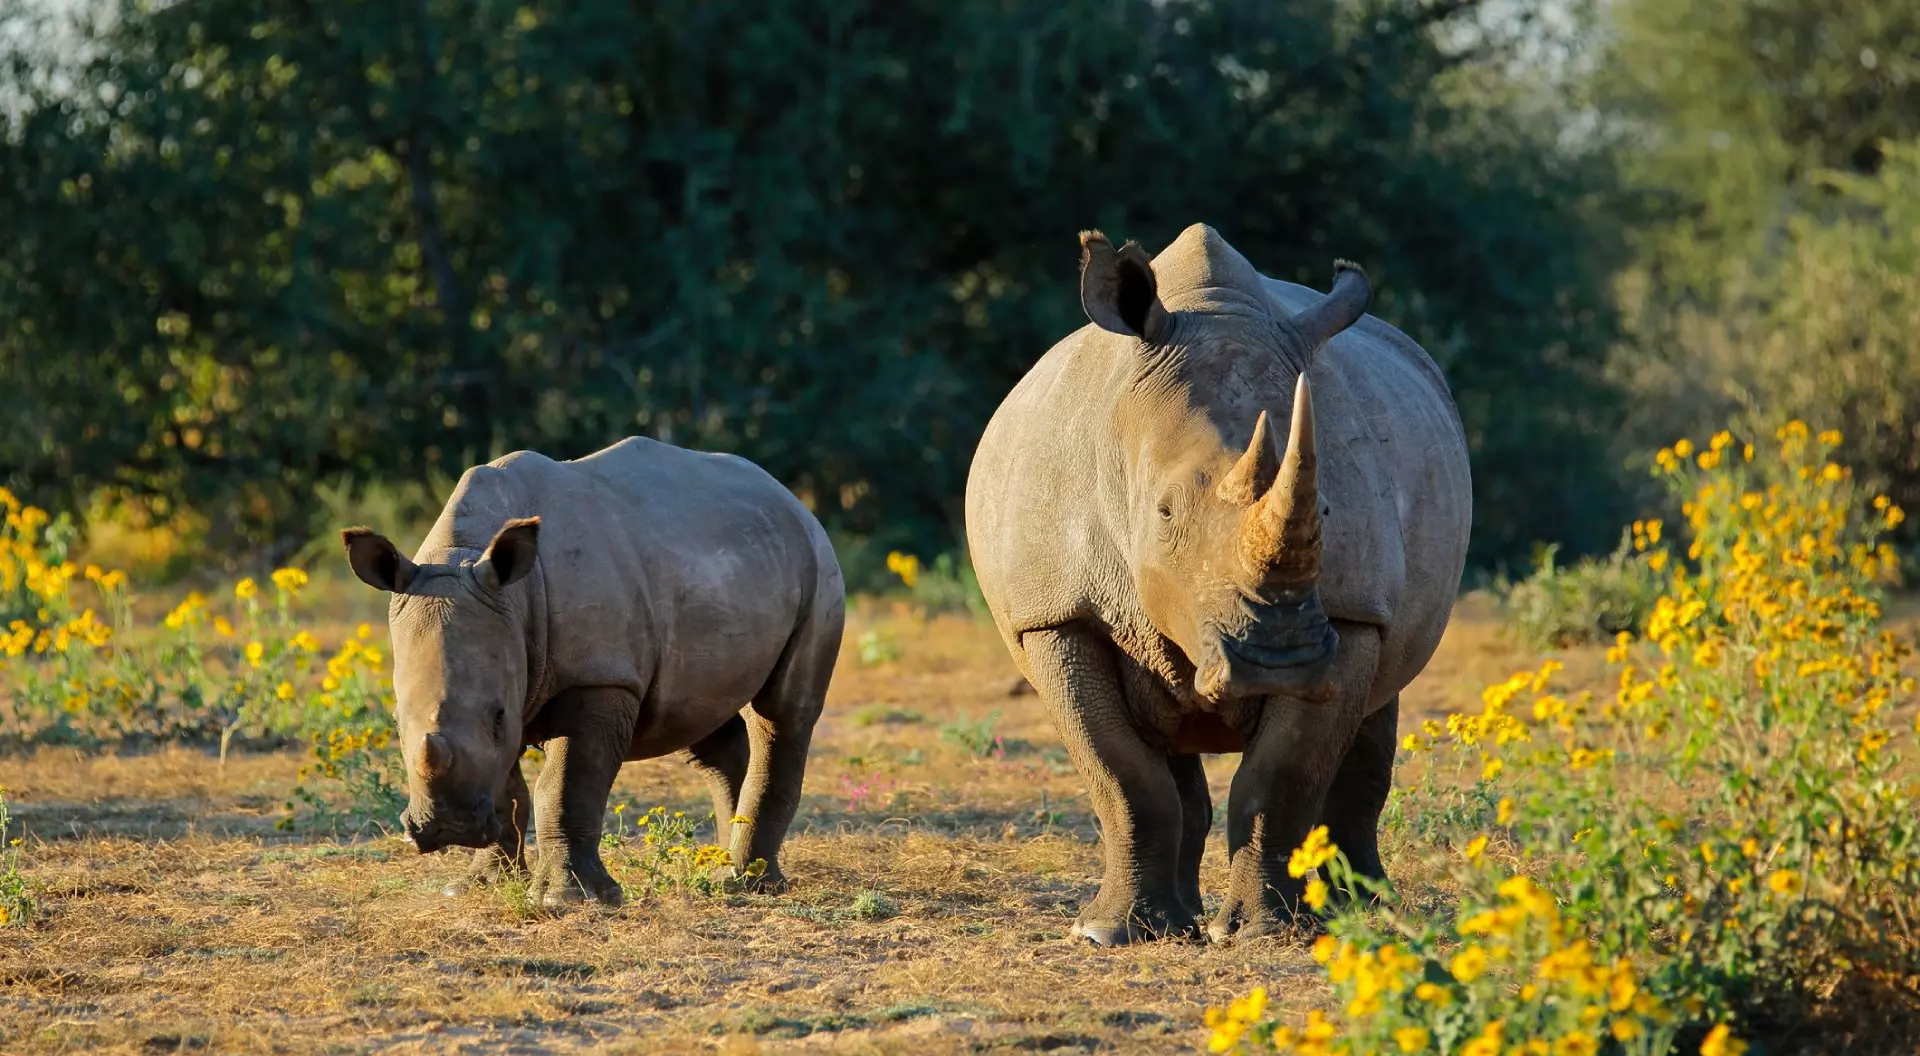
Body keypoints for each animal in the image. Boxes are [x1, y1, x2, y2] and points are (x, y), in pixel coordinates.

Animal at [341, 437, 845, 907]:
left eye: (498, 716)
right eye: (396, 721)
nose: (450, 829)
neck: (468, 557)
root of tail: (789, 497)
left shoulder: (599, 676)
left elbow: (566, 786)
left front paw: (568, 899)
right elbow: (508, 790)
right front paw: (478, 886)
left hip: (817, 562)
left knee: (783, 712)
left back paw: (746, 883)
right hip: (721, 563)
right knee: (700, 716)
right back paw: (722, 869)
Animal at [965, 225, 1471, 944]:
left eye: (1325, 511)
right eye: (1164, 513)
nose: (1276, 661)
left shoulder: (1351, 616)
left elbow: (1281, 775)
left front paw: (1264, 933)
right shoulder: (1055, 613)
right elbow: (1122, 775)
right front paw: (1110, 935)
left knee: (1375, 713)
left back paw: (1365, 913)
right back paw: (1176, 922)